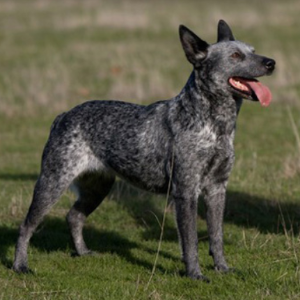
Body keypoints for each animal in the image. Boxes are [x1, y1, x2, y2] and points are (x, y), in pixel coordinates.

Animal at [12, 19, 276, 280]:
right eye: (235, 55)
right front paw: (194, 275)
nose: (271, 63)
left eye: (253, 50)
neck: (214, 125)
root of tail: (63, 116)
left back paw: (83, 252)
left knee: (74, 216)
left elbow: (216, 236)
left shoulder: (217, 189)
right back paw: (20, 265)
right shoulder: (186, 191)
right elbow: (190, 240)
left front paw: (222, 268)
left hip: (98, 187)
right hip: (52, 182)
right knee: (26, 226)